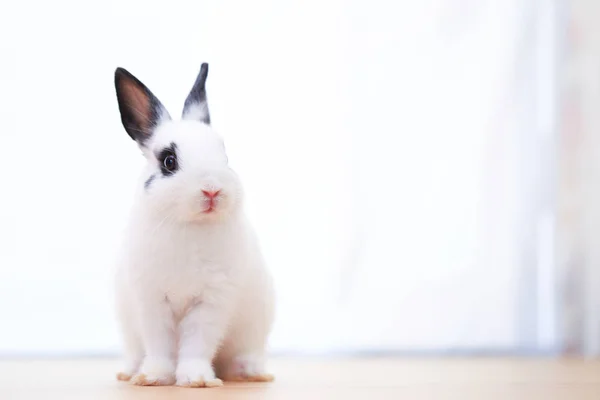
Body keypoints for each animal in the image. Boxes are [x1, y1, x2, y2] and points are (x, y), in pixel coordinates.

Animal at [112, 62, 274, 388]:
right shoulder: (152, 300)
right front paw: (153, 377)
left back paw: (253, 373)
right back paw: (129, 372)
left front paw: (196, 380)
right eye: (169, 161)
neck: (188, 225)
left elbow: (197, 344)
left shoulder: (210, 302)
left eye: (225, 156)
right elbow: (159, 345)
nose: (212, 190)